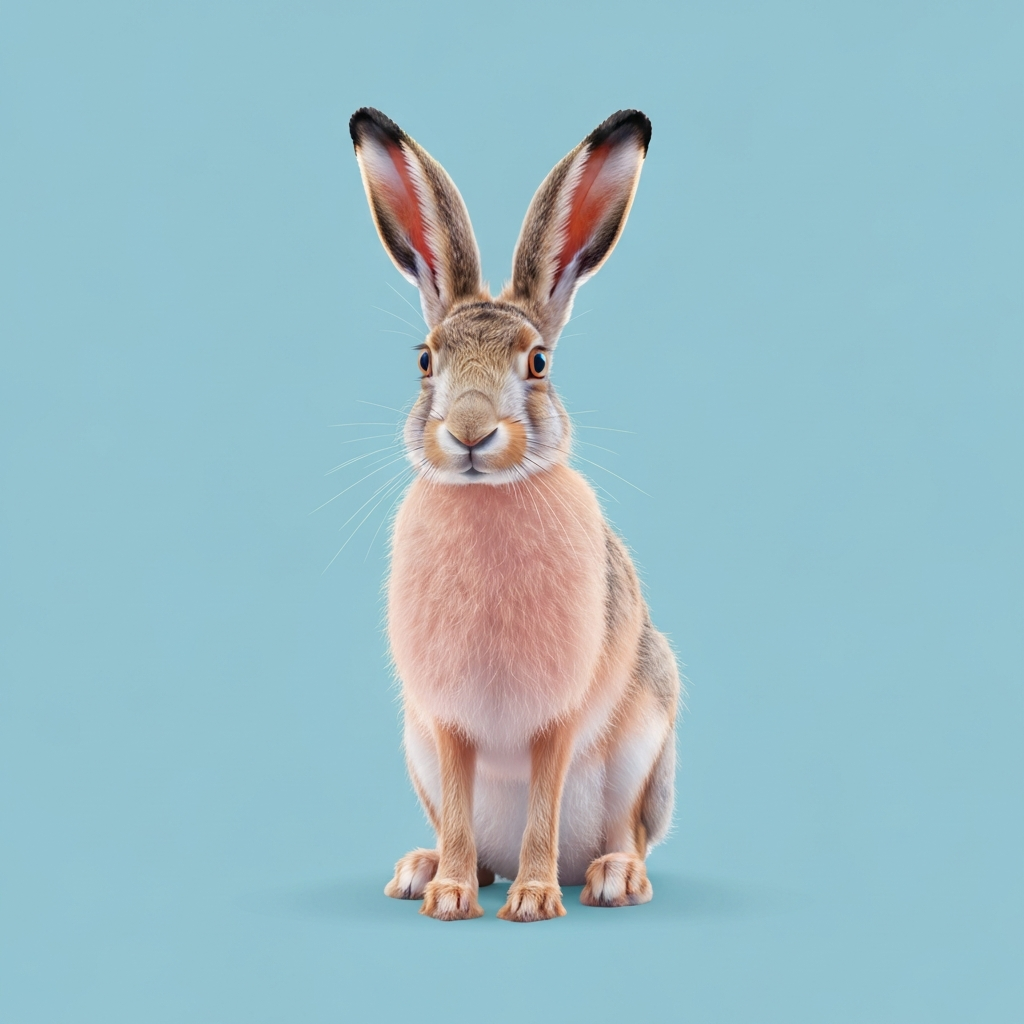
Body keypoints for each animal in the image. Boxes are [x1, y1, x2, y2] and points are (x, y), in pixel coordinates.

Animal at [348, 107, 680, 922]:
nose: (471, 433)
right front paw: (450, 896)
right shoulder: (445, 722)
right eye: (425, 360)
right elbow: (463, 805)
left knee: (625, 832)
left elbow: (543, 806)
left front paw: (532, 900)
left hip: (647, 740)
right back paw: (422, 869)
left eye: (537, 364)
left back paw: (611, 879)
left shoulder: (555, 717)